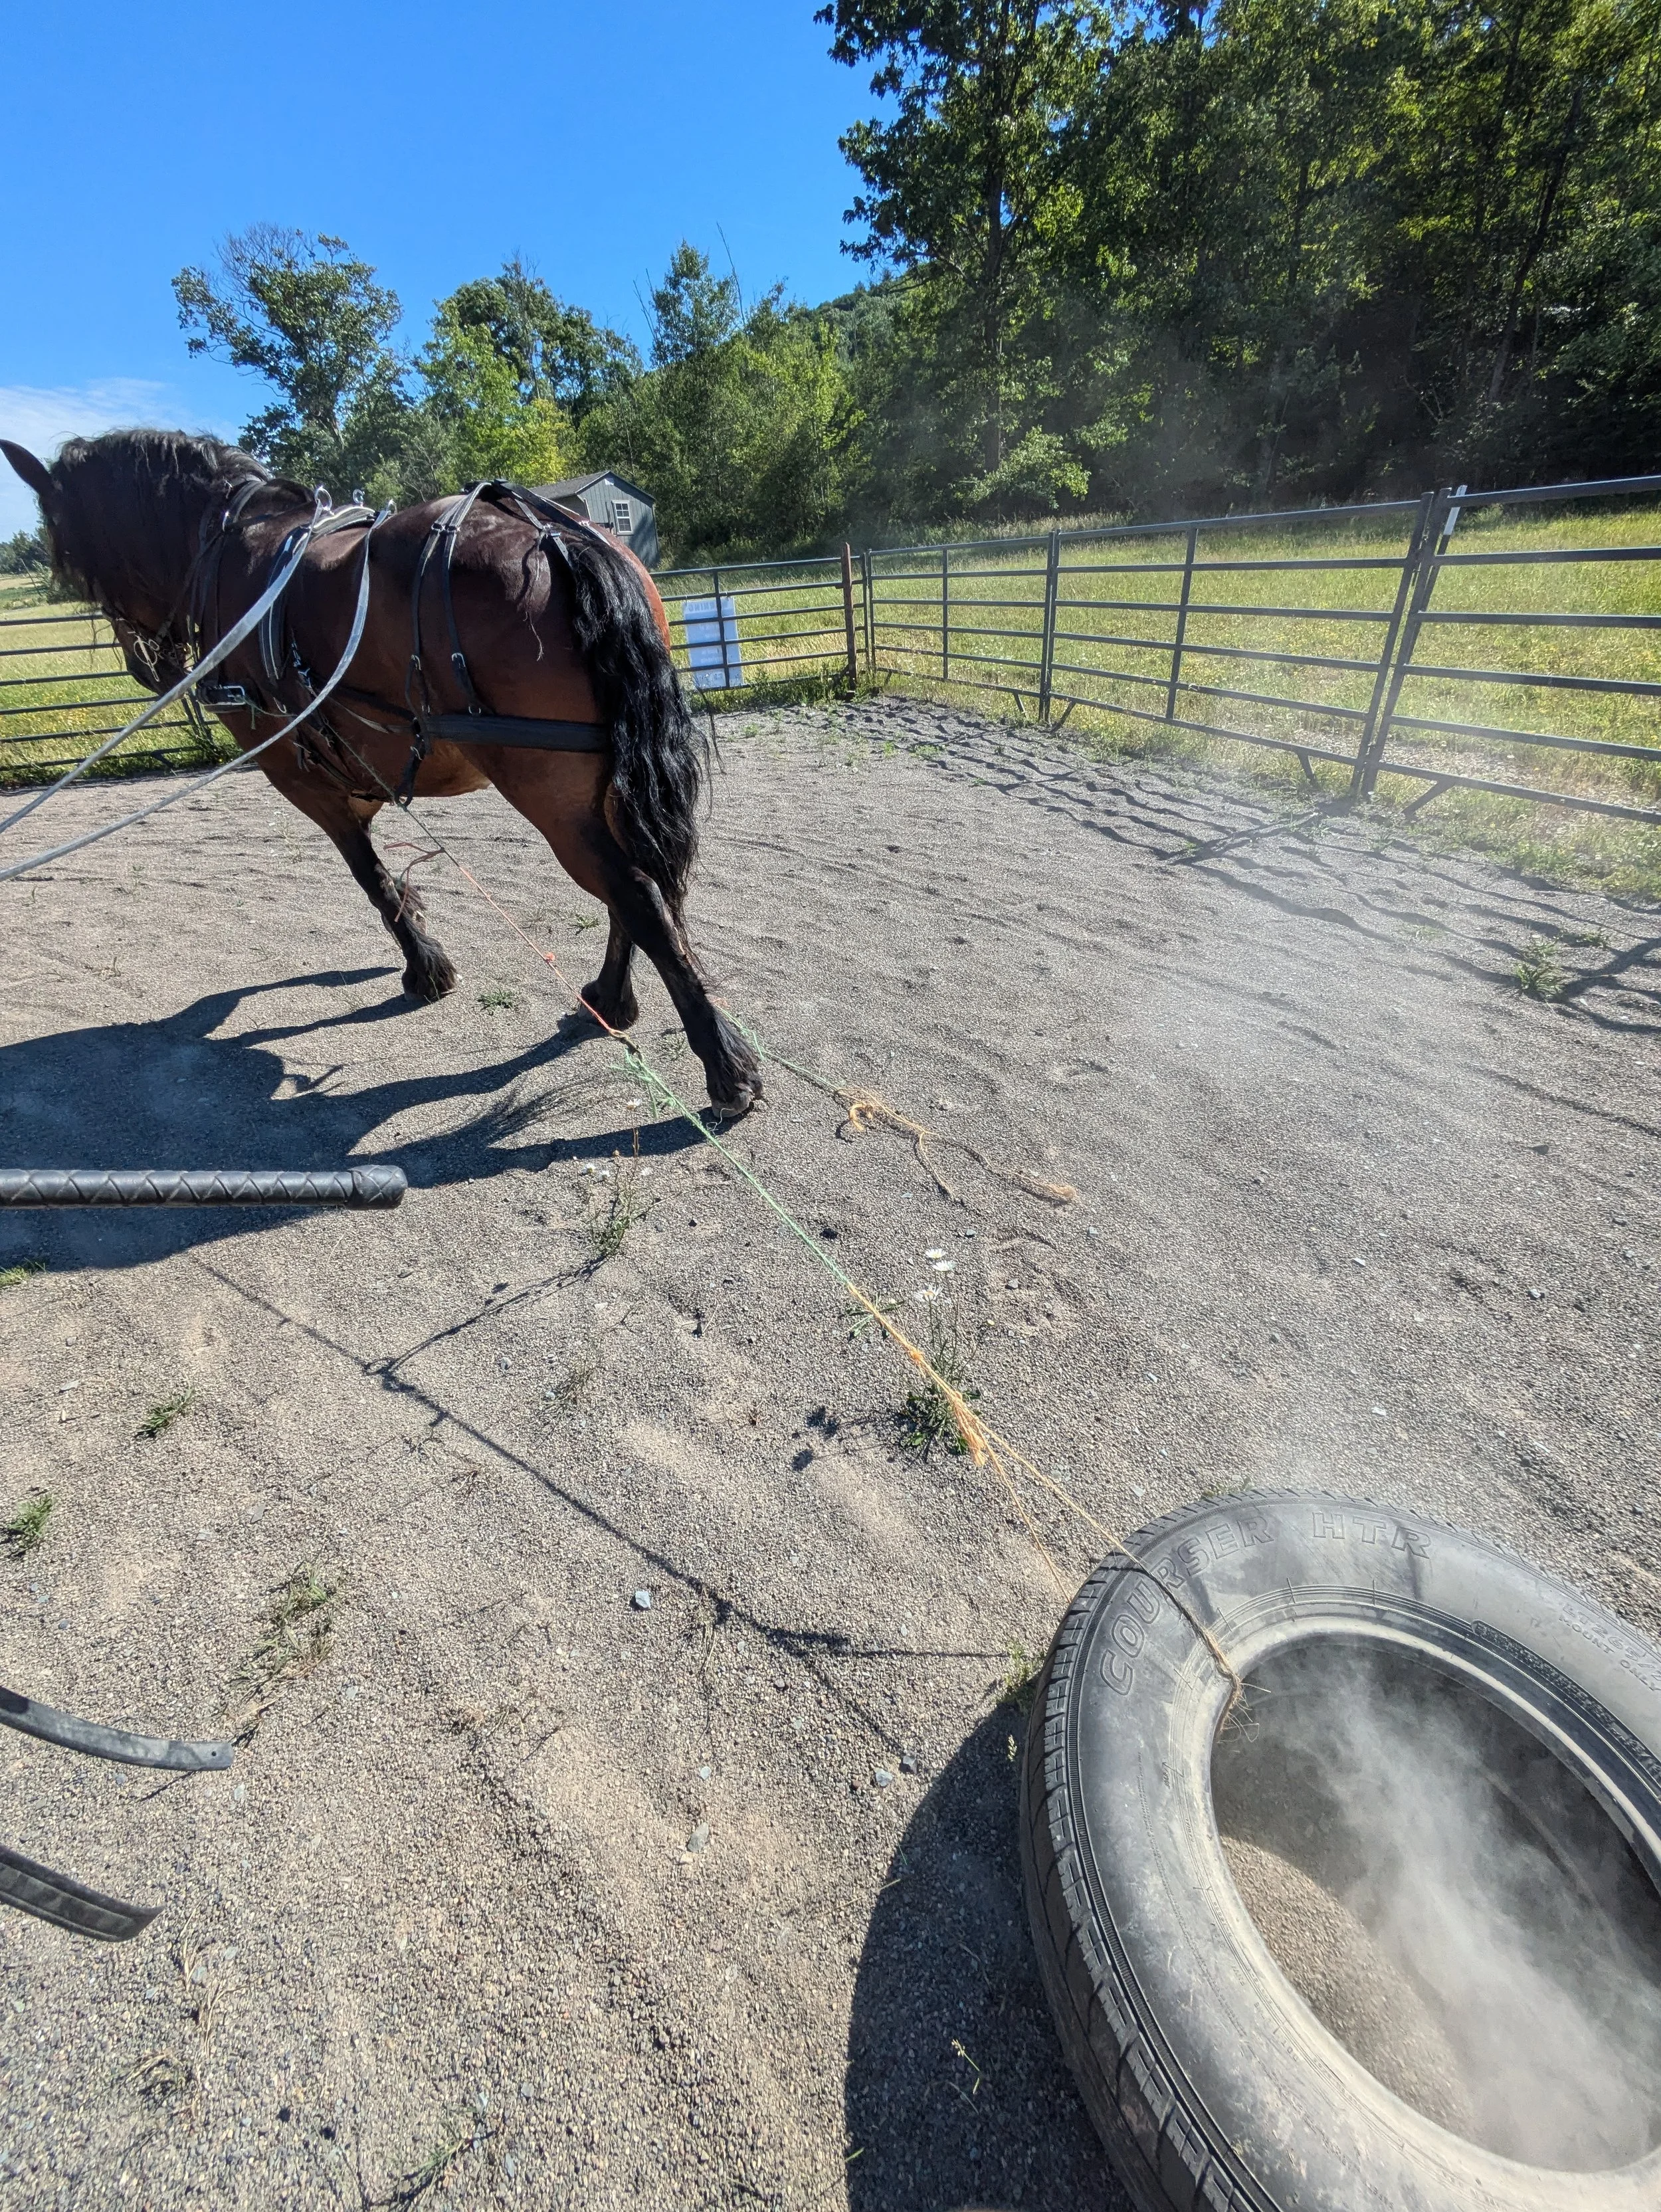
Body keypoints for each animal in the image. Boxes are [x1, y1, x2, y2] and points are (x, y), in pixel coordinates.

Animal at [0, 429, 763, 1118]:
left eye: (74, 557)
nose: (147, 666)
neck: (234, 555)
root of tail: (553, 534)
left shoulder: (298, 777)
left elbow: (369, 877)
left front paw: (424, 965)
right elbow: (388, 876)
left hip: (551, 794)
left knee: (636, 894)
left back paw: (723, 1066)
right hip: (601, 785)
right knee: (633, 891)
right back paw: (610, 1000)